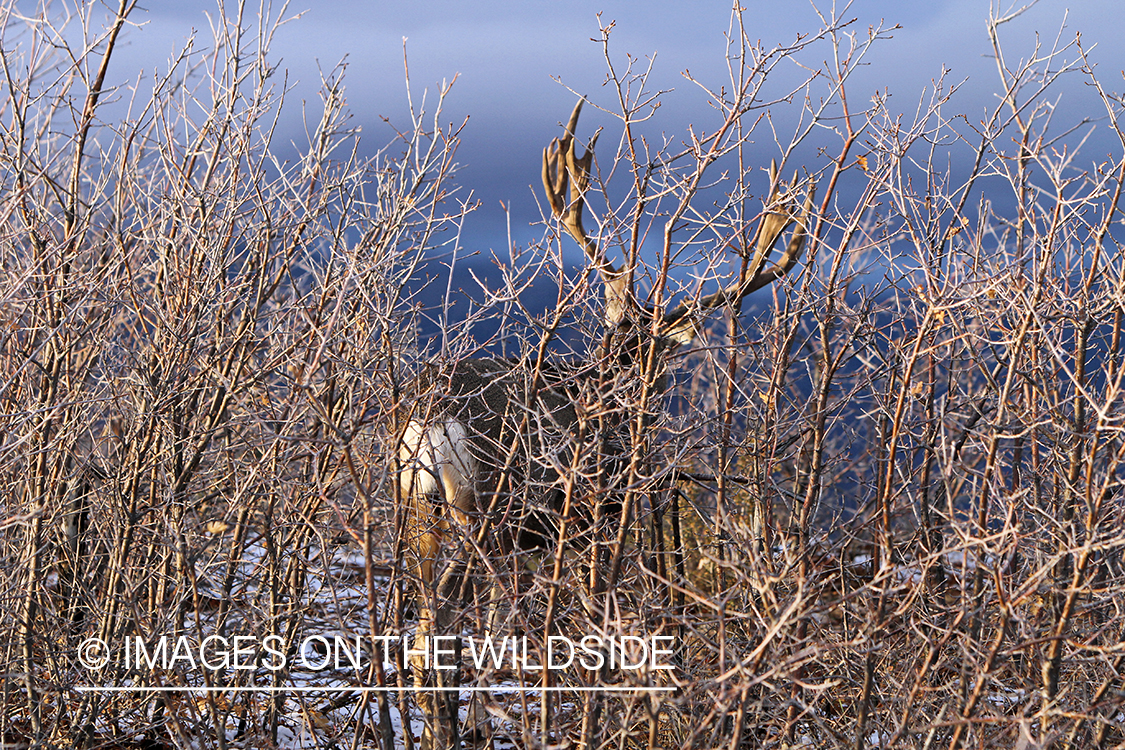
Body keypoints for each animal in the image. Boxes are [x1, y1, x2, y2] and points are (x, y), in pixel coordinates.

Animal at [395, 99, 815, 749]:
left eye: (631, 327)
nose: (623, 363)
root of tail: (429, 415)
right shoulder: (596, 516)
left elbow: (498, 627)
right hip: (483, 507)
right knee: (436, 626)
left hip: (422, 509)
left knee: (424, 623)